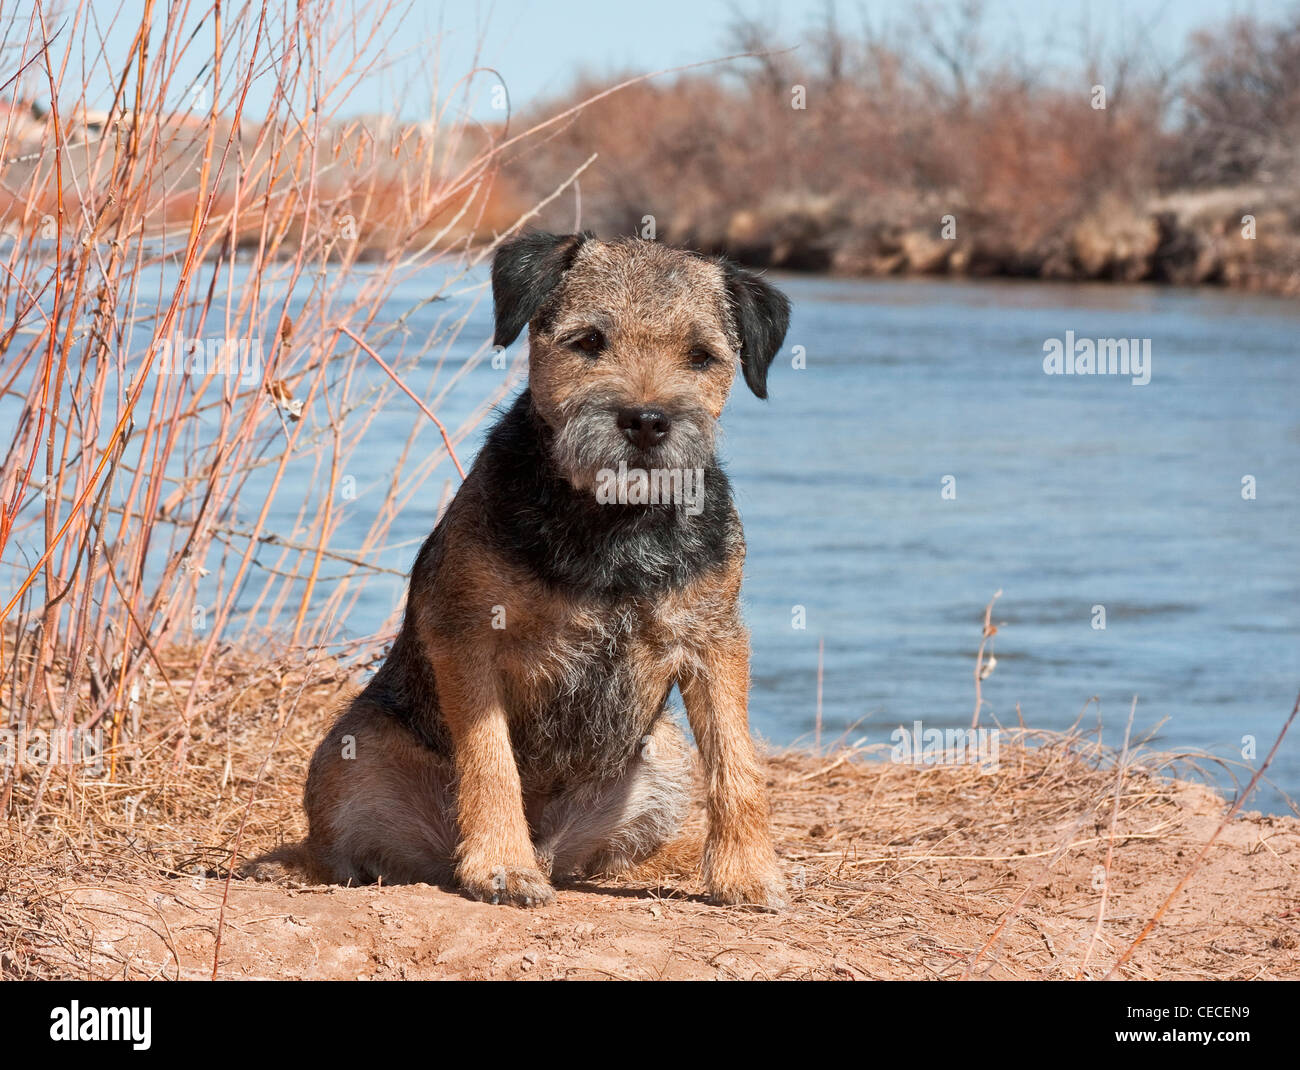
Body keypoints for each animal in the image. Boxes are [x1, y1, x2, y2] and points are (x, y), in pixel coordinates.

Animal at [304, 234, 790, 910]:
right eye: (588, 341)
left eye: (700, 356)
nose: (646, 420)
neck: (615, 523)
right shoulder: (468, 636)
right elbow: (490, 760)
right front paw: (501, 865)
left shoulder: (714, 641)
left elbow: (736, 761)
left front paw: (746, 873)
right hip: (351, 756)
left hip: (663, 755)